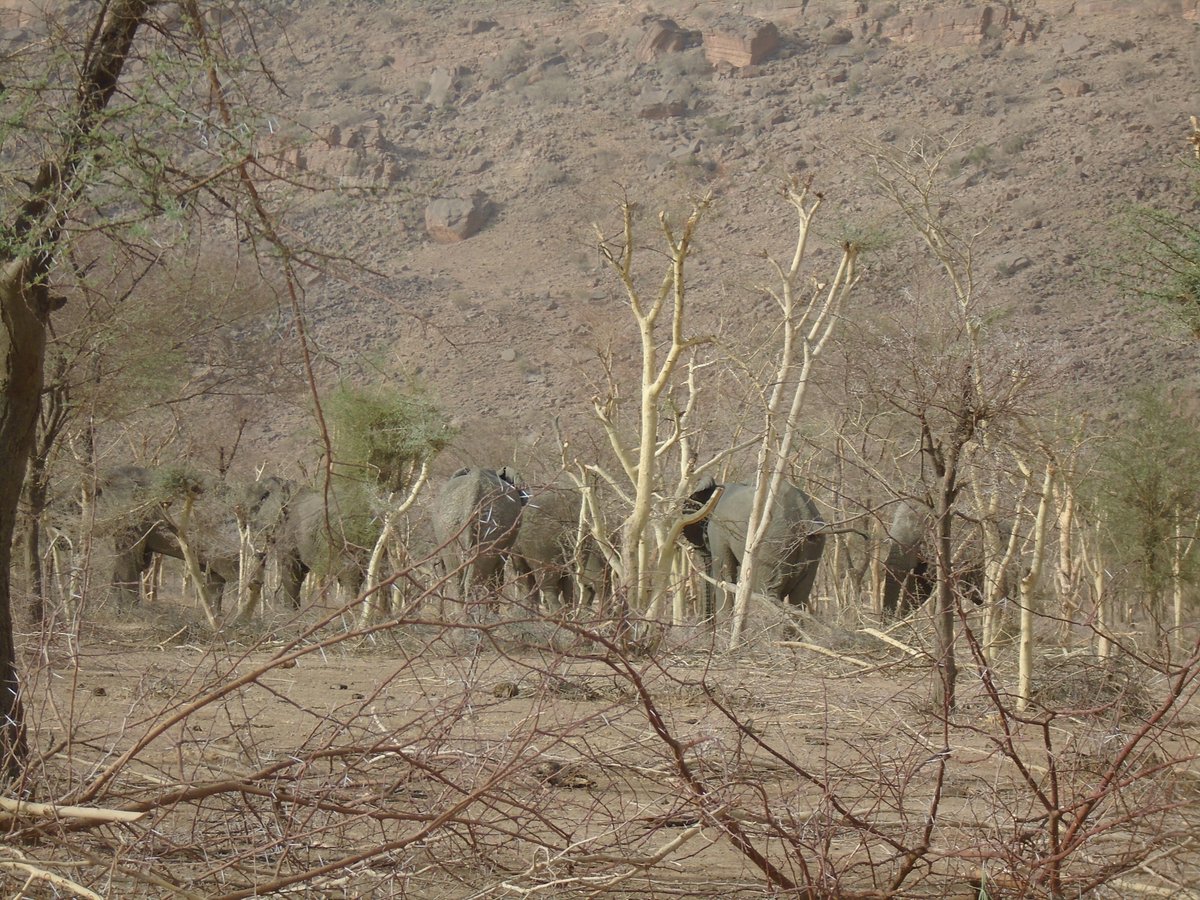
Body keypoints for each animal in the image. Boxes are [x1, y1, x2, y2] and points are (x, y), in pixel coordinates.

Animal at [686, 480, 825, 619]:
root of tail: (805, 516)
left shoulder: (718, 530)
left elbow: (724, 577)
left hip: (774, 544)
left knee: (769, 594)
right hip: (813, 547)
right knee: (799, 597)